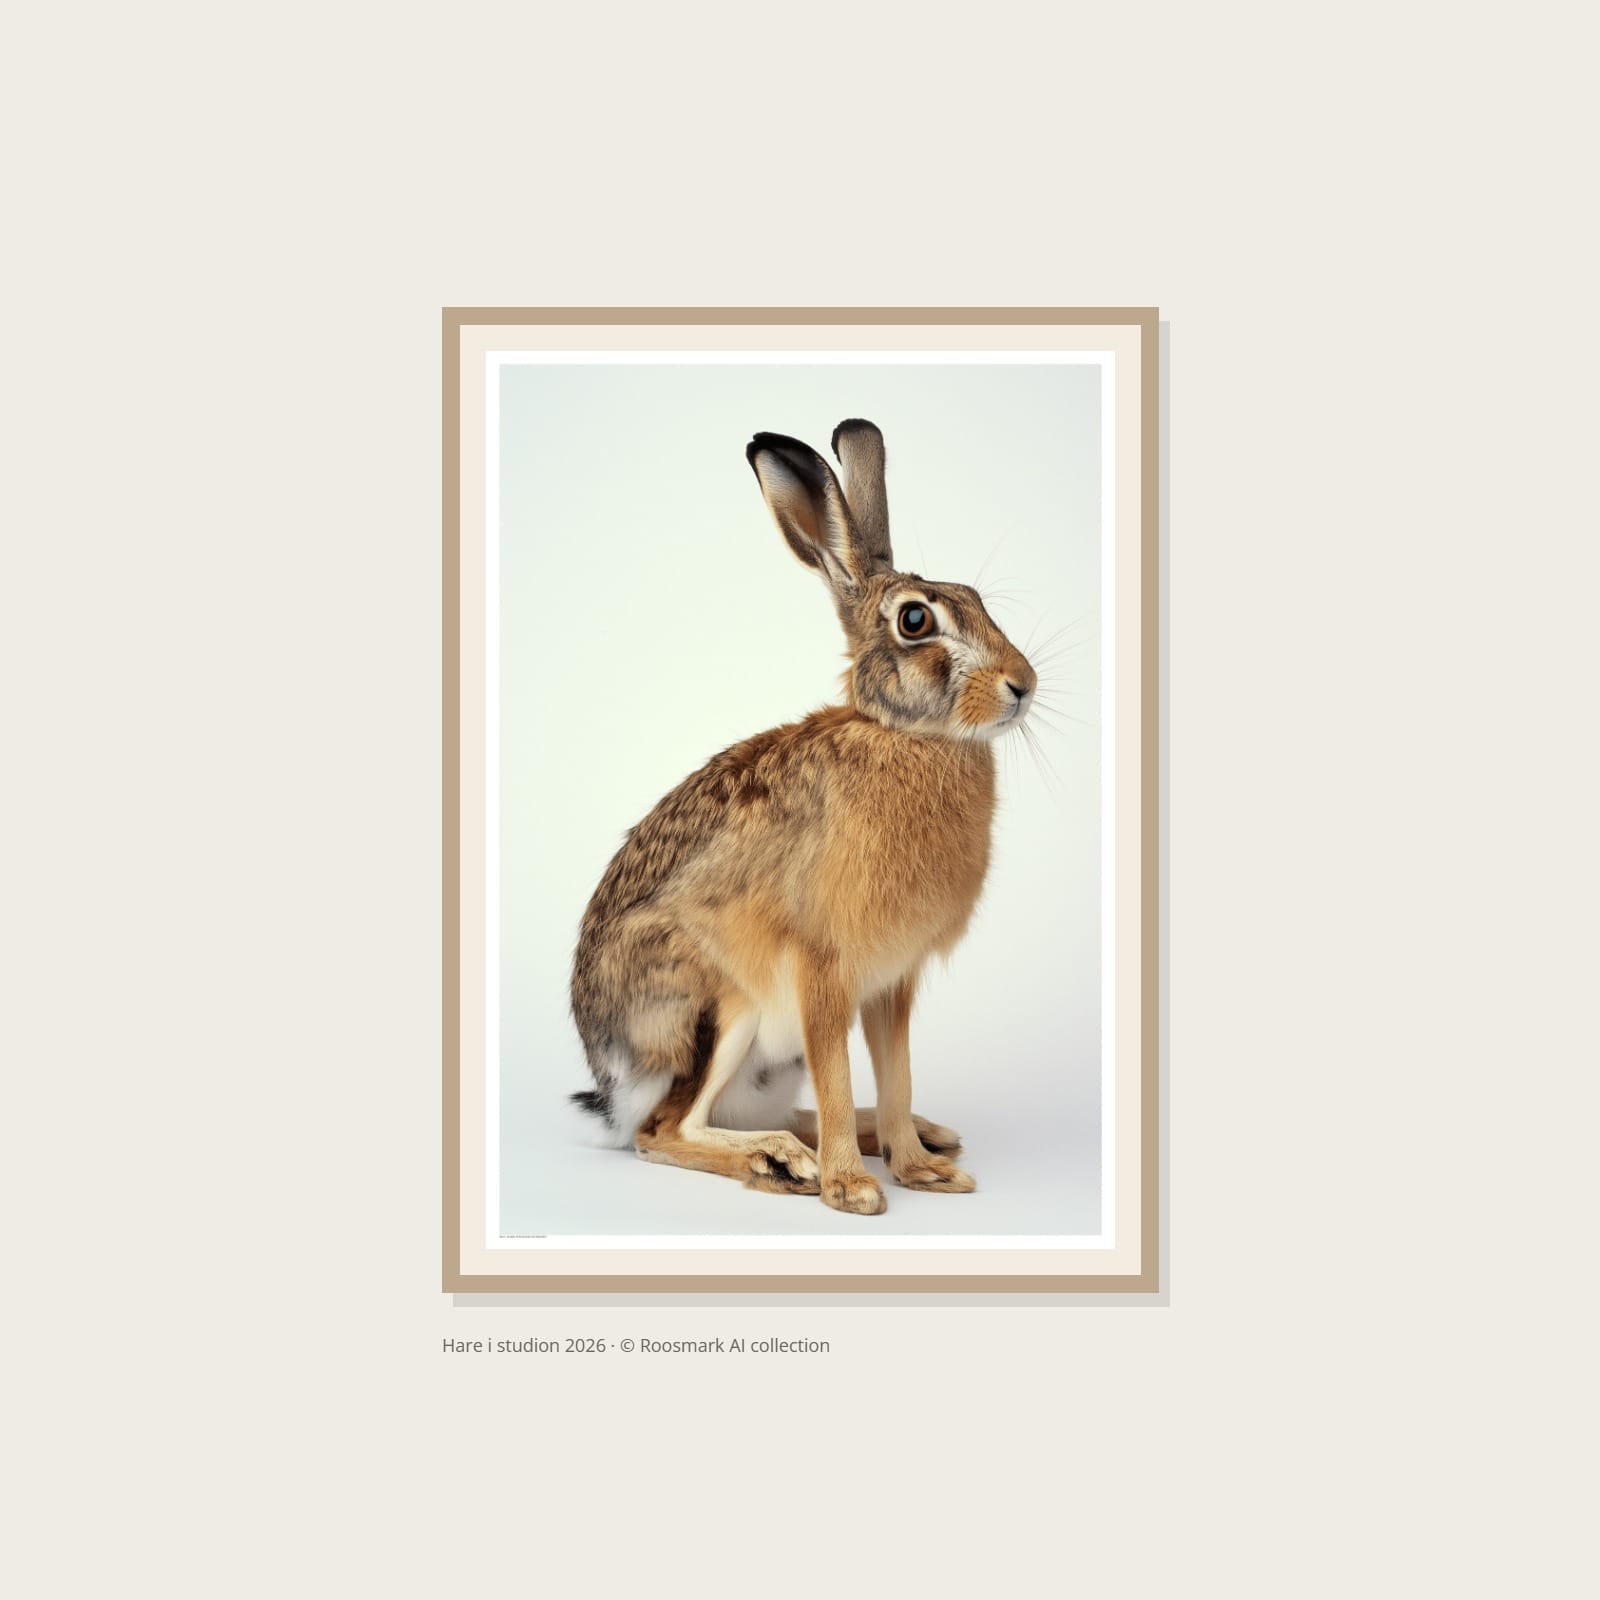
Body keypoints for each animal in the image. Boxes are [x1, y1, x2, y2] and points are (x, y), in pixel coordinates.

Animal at [568, 419, 1037, 1214]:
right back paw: (784, 1162)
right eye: (916, 620)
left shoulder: (891, 981)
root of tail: (612, 1091)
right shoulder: (822, 967)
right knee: (664, 1131)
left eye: (977, 599)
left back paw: (916, 1136)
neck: (904, 735)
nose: (1023, 685)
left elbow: (895, 1070)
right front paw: (852, 1190)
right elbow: (838, 1070)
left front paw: (921, 1170)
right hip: (722, 1007)